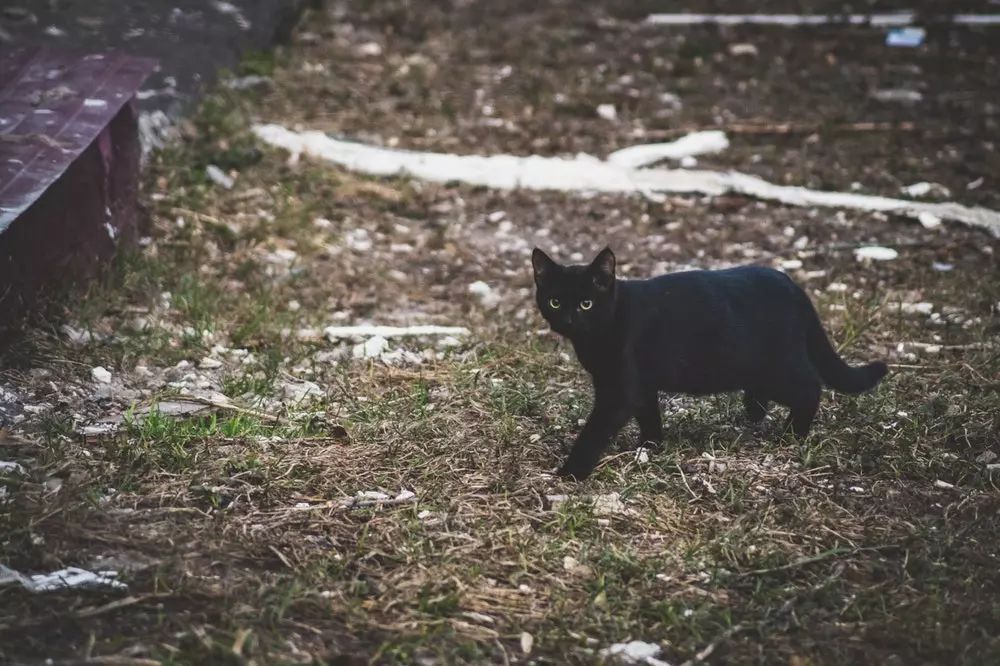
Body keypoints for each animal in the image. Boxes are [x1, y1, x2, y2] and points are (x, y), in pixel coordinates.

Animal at [536, 244, 888, 478]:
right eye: (554, 301)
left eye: (586, 303)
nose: (568, 320)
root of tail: (794, 287)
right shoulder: (641, 383)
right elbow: (649, 414)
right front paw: (651, 446)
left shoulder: (620, 389)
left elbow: (595, 430)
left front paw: (571, 471)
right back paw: (754, 414)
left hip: (777, 366)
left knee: (810, 388)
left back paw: (792, 433)